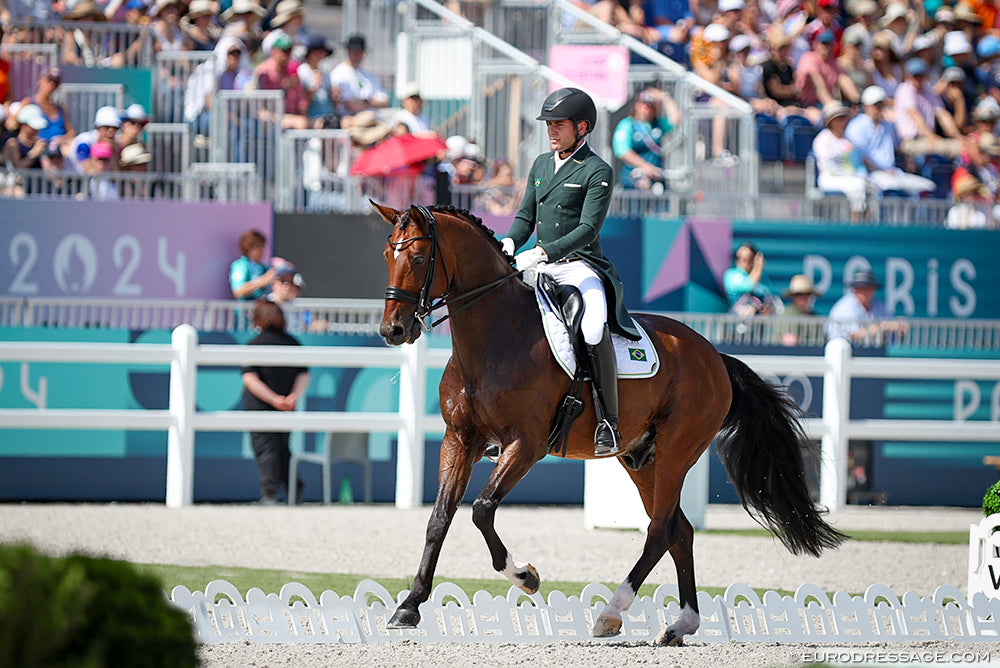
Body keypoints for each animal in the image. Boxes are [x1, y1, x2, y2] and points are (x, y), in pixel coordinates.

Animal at [376, 201, 844, 644]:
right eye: (386, 255)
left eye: (418, 257)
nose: (393, 331)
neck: (494, 337)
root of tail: (713, 355)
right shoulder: (460, 438)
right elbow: (439, 518)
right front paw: (409, 606)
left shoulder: (527, 444)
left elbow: (482, 509)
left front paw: (525, 576)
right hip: (640, 459)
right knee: (680, 530)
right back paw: (681, 624)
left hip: (676, 452)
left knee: (660, 529)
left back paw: (611, 613)